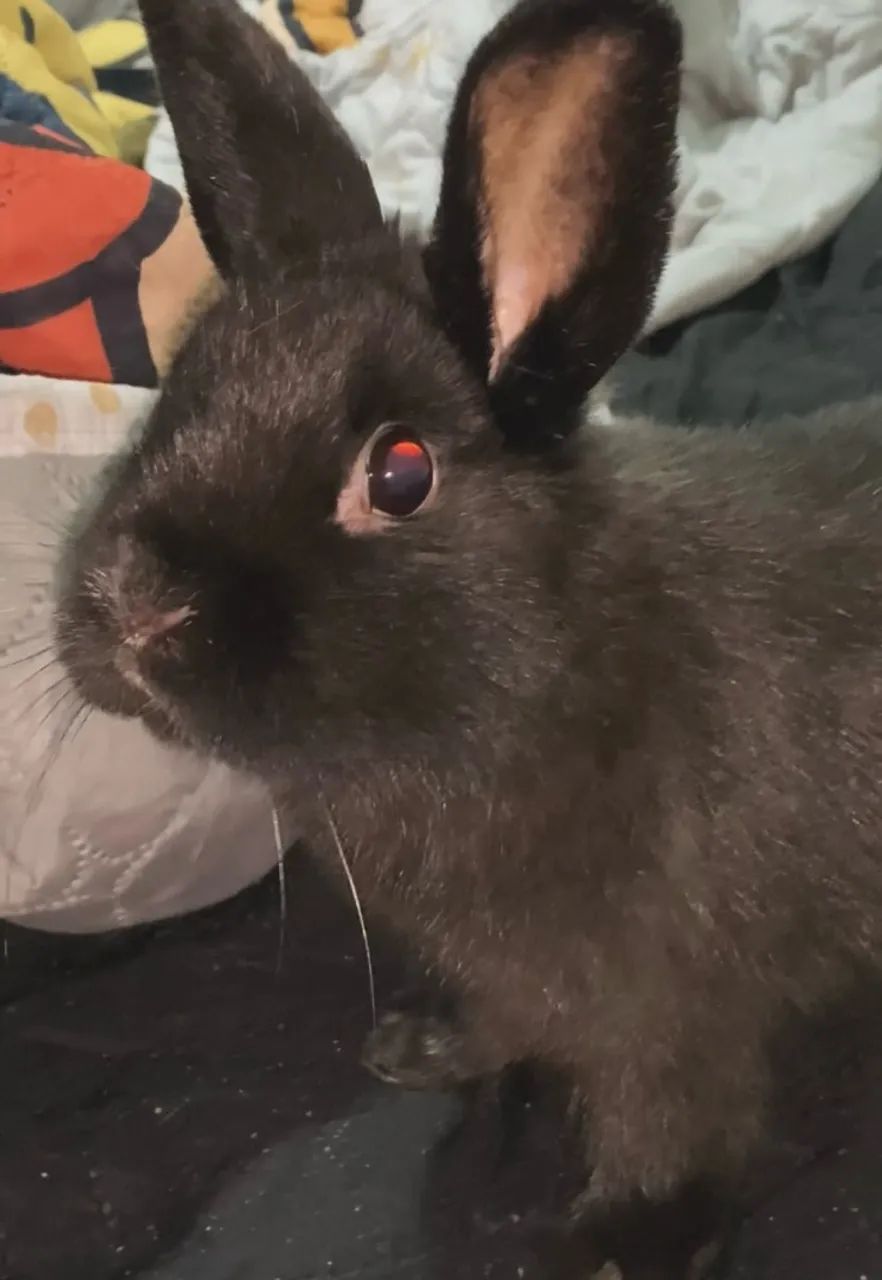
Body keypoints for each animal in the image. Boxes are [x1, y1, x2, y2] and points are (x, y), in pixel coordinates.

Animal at [52, 0, 882, 1274]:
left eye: (399, 474)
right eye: (181, 384)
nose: (131, 601)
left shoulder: (677, 1008)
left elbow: (674, 1120)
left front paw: (613, 1244)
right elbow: (503, 1017)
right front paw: (420, 1047)